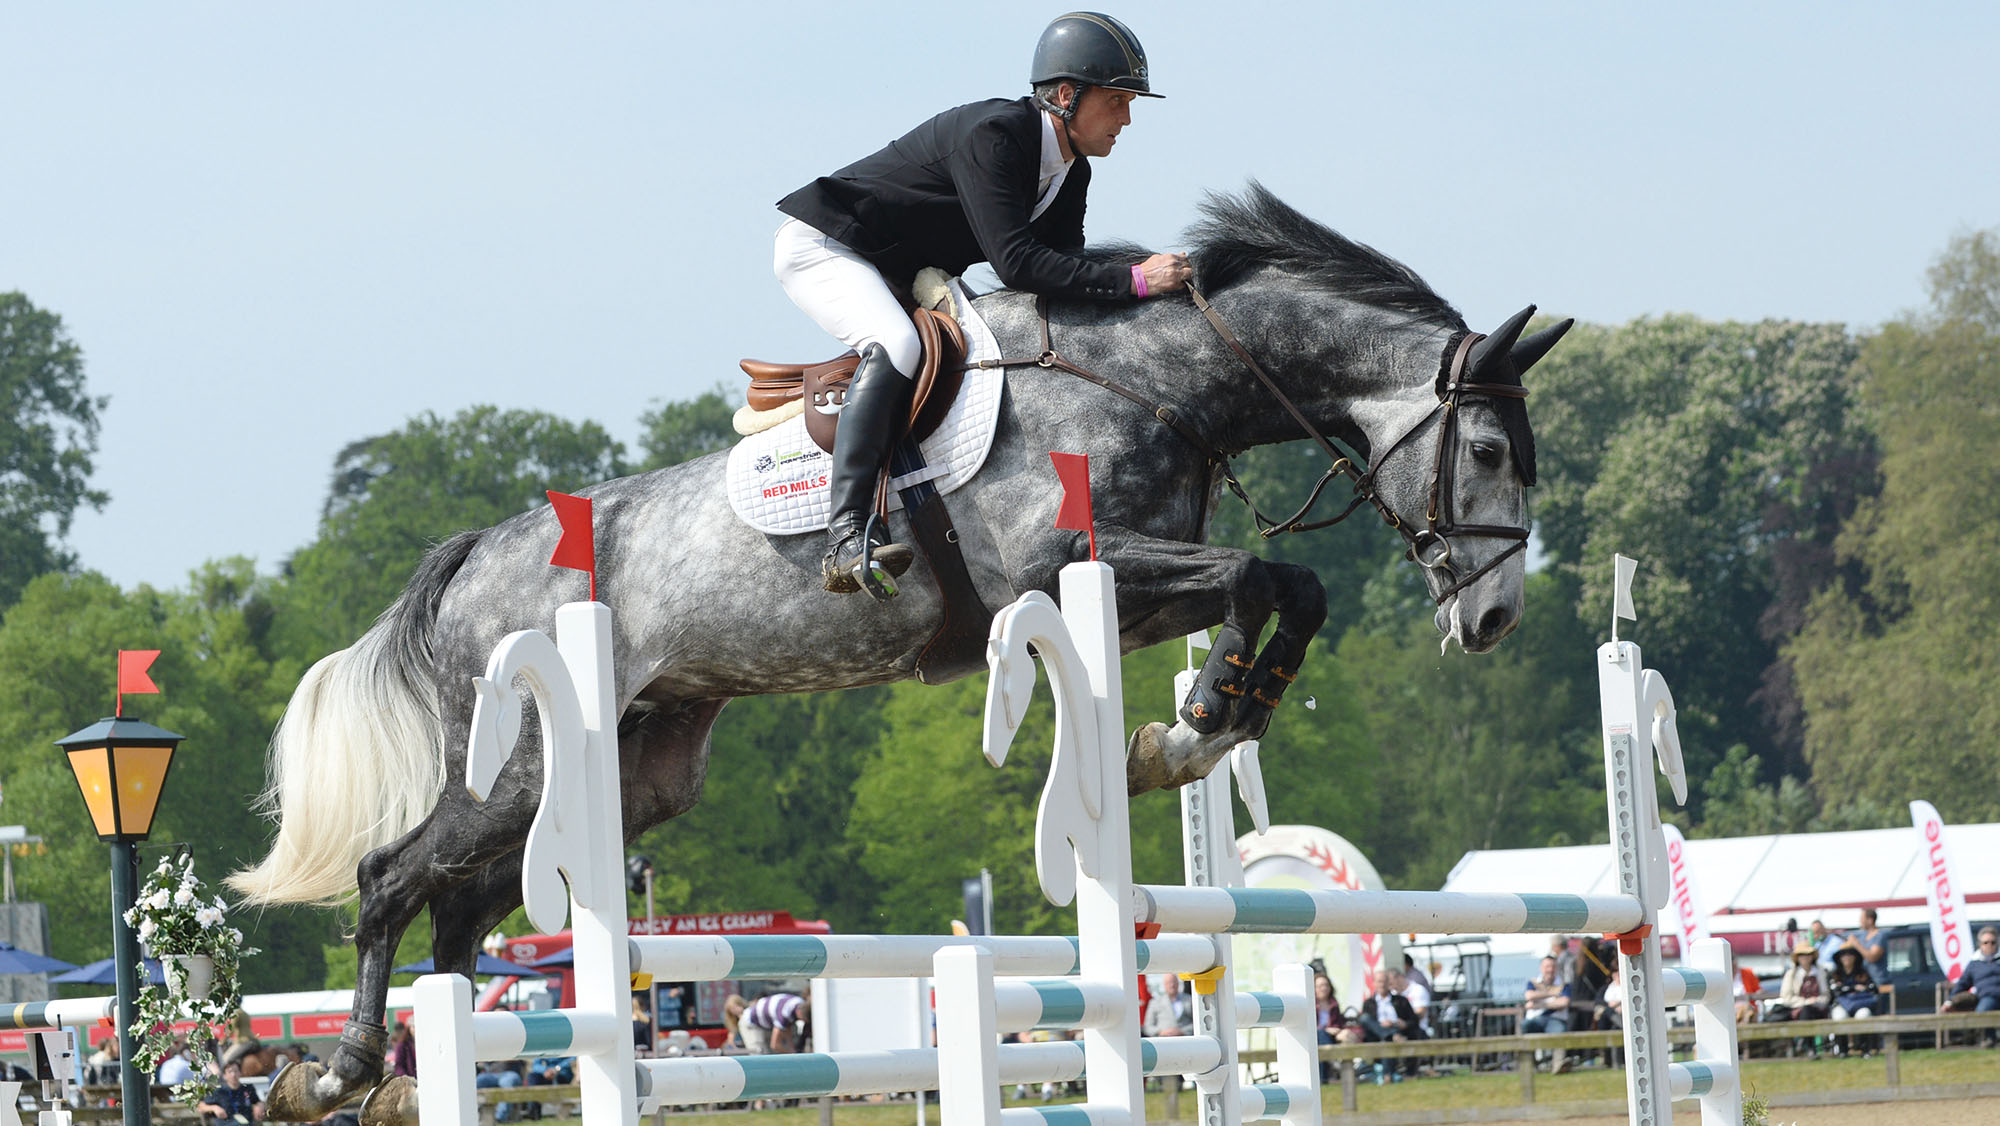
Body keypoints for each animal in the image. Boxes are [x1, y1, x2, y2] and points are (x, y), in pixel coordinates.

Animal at [229, 184, 1571, 1121]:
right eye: (1486, 452)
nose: (1493, 618)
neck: (1153, 378)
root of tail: (475, 553)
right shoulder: (1057, 572)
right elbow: (1255, 573)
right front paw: (1190, 724)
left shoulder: (1128, 589)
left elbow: (1288, 582)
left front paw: (1206, 713)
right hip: (512, 763)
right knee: (390, 880)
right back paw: (337, 1072)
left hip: (628, 772)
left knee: (460, 910)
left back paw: (417, 1069)